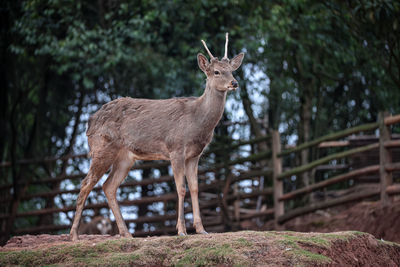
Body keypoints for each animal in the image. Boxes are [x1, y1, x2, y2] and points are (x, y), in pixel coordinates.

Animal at [69, 32, 244, 242]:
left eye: (232, 70)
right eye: (216, 72)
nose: (234, 83)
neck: (197, 121)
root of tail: (90, 122)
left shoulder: (194, 155)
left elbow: (195, 188)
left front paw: (201, 229)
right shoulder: (176, 148)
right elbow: (181, 188)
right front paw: (181, 230)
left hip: (124, 158)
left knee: (108, 186)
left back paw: (126, 233)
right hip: (101, 147)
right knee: (86, 184)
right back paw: (74, 235)